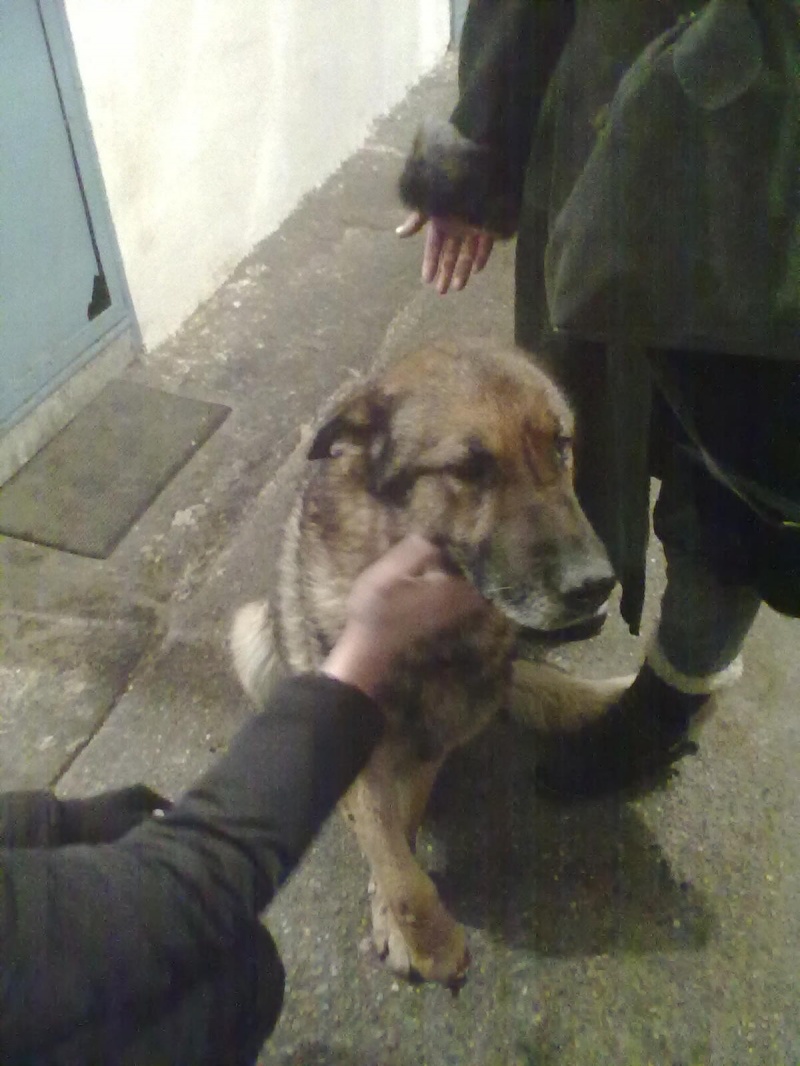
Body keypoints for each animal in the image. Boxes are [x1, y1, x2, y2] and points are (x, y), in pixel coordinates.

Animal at [231, 340, 623, 987]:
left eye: (561, 445)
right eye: (470, 470)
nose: (596, 586)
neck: (436, 634)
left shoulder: (431, 746)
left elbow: (403, 833)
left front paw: (395, 914)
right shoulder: (357, 740)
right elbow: (392, 855)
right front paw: (425, 934)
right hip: (251, 636)